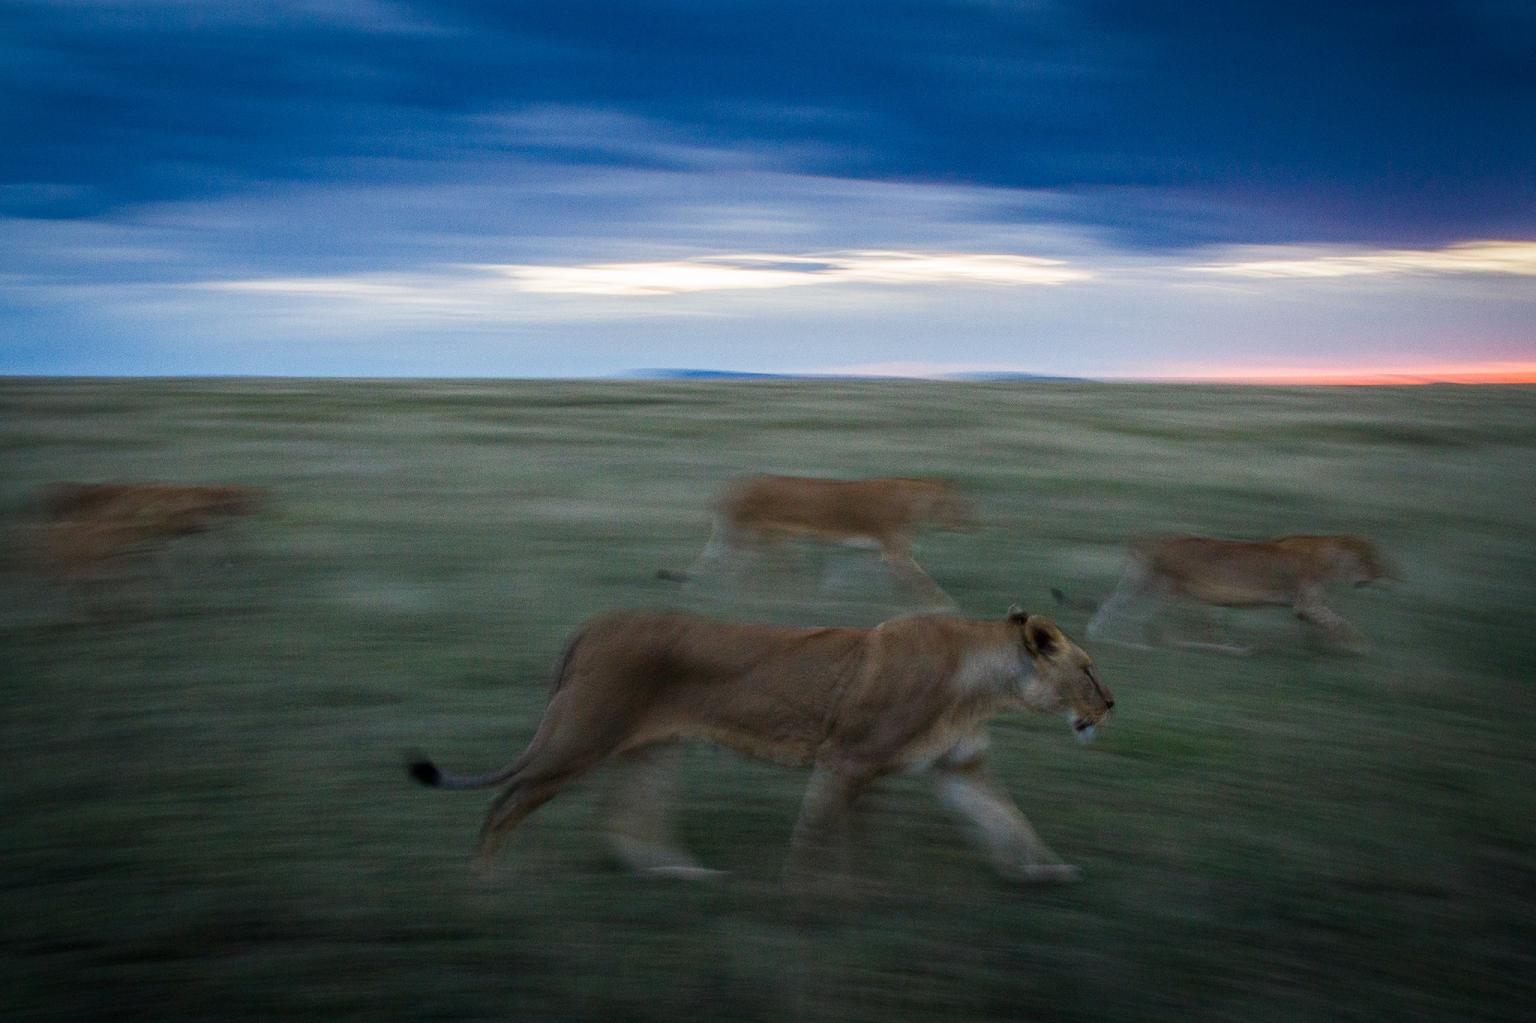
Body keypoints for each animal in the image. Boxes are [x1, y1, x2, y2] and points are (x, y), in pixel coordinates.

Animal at [657, 476, 970, 608]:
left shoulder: (881, 553)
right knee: (732, 566)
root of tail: (730, 486)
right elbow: (922, 580)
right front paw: (945, 605)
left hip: (750, 536)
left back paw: (692, 589)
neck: (915, 504)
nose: (970, 522)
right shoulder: (896, 552)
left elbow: (886, 580)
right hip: (749, 535)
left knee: (716, 560)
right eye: (957, 506)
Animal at [1062, 528, 1400, 648]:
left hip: (1148, 583)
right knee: (1145, 619)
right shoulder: (1308, 603)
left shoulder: (1302, 608)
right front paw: (1361, 649)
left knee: (1114, 605)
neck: (1331, 557)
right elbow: (1343, 625)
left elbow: (1324, 626)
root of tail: (1151, 540)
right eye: (1370, 560)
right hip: (1162, 586)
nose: (1385, 575)